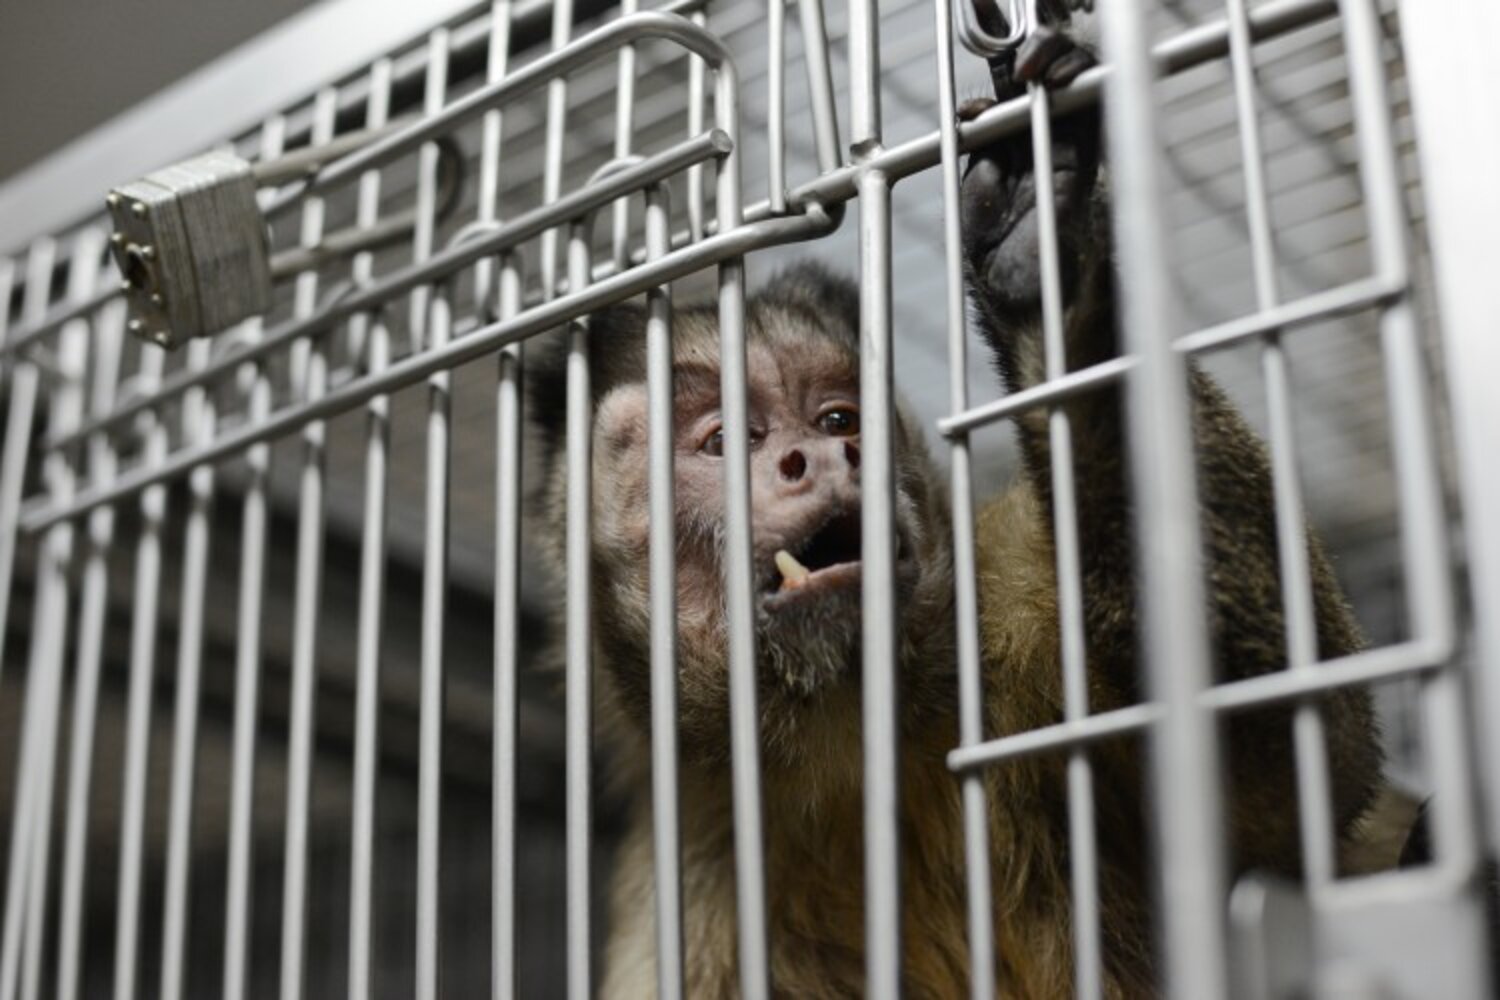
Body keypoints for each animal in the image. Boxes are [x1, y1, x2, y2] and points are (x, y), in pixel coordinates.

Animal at [529, 22, 1385, 1000]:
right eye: (724, 440)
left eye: (838, 420)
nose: (819, 456)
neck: (849, 736)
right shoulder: (692, 887)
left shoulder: (1010, 600)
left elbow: (1292, 767)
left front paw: (1045, 251)